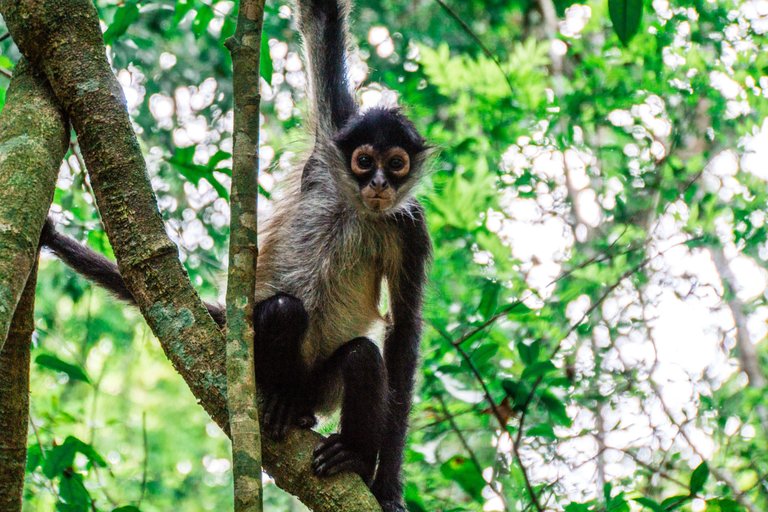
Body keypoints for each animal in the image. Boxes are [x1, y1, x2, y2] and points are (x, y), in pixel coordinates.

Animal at [40, 2, 432, 510]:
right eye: (365, 161)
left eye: (397, 164)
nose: (381, 183)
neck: (356, 205)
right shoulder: (332, 145)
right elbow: (320, 20)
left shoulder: (411, 227)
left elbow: (403, 333)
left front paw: (387, 485)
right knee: (284, 311)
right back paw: (284, 400)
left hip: (323, 387)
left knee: (362, 357)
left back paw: (355, 457)